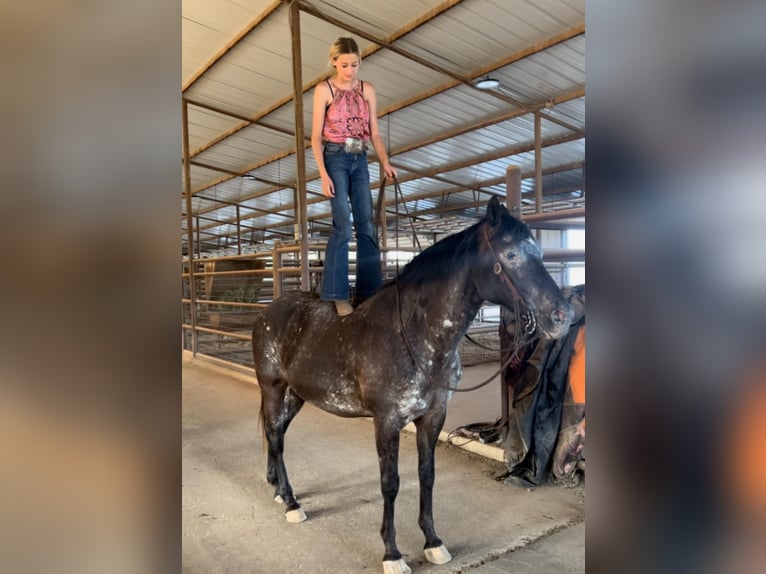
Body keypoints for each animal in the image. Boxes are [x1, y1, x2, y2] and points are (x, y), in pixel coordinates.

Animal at [254, 197, 576, 572]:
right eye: (510, 255)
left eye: (539, 252)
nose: (562, 317)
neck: (414, 333)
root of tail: (267, 313)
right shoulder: (387, 421)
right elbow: (390, 483)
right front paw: (392, 554)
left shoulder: (433, 416)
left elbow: (427, 475)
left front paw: (433, 542)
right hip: (273, 389)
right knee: (276, 438)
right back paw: (292, 504)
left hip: (295, 395)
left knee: (276, 436)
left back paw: (279, 491)